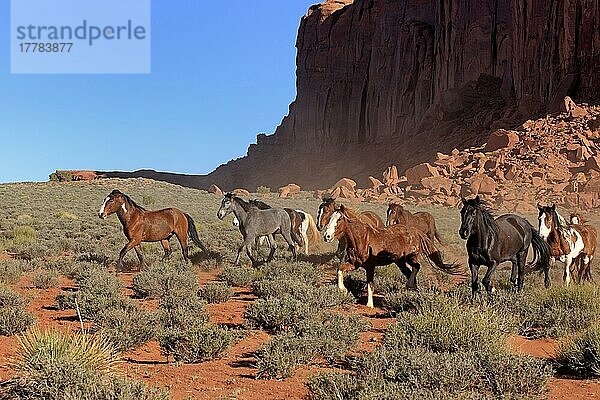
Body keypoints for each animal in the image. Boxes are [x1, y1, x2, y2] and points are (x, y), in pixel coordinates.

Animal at [324, 205, 460, 308]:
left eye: (339, 220)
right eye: (330, 218)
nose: (327, 236)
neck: (362, 239)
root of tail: (414, 231)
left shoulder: (370, 266)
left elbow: (370, 284)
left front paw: (369, 304)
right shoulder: (354, 264)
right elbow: (340, 270)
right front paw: (343, 289)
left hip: (410, 257)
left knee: (416, 267)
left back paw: (409, 285)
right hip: (400, 261)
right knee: (410, 271)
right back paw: (413, 288)